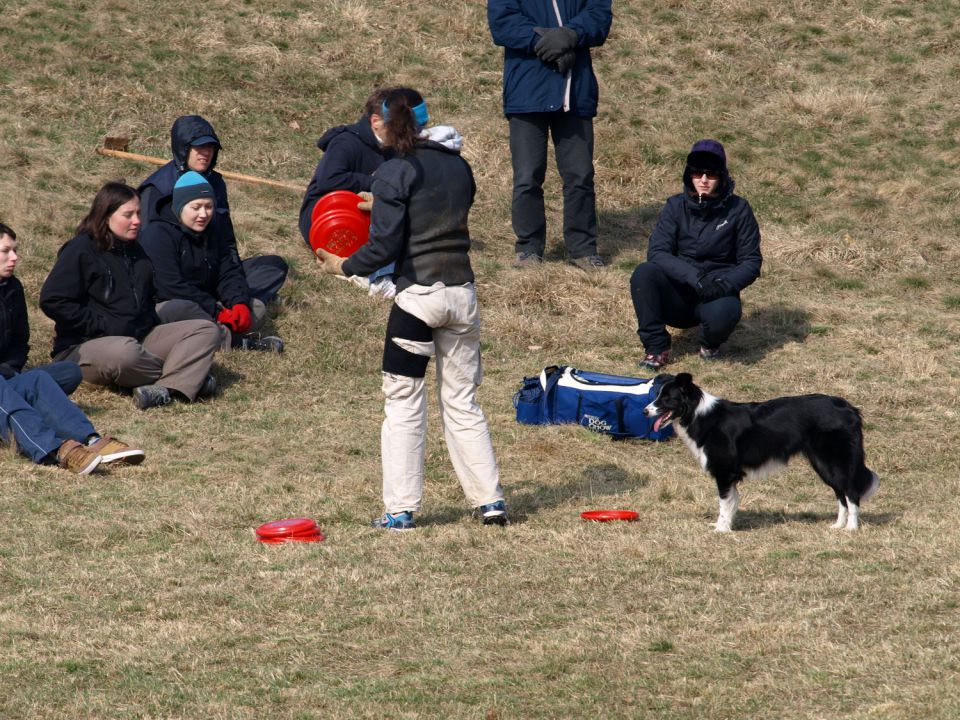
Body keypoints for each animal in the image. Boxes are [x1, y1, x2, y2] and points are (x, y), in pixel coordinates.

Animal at [644, 374, 876, 532]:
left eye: (667, 399)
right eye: (657, 396)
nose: (645, 411)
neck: (698, 414)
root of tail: (850, 408)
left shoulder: (724, 472)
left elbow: (724, 503)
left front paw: (721, 529)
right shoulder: (732, 475)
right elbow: (733, 502)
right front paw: (728, 526)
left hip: (835, 461)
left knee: (851, 492)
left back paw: (851, 528)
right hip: (822, 464)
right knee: (840, 493)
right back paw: (838, 525)